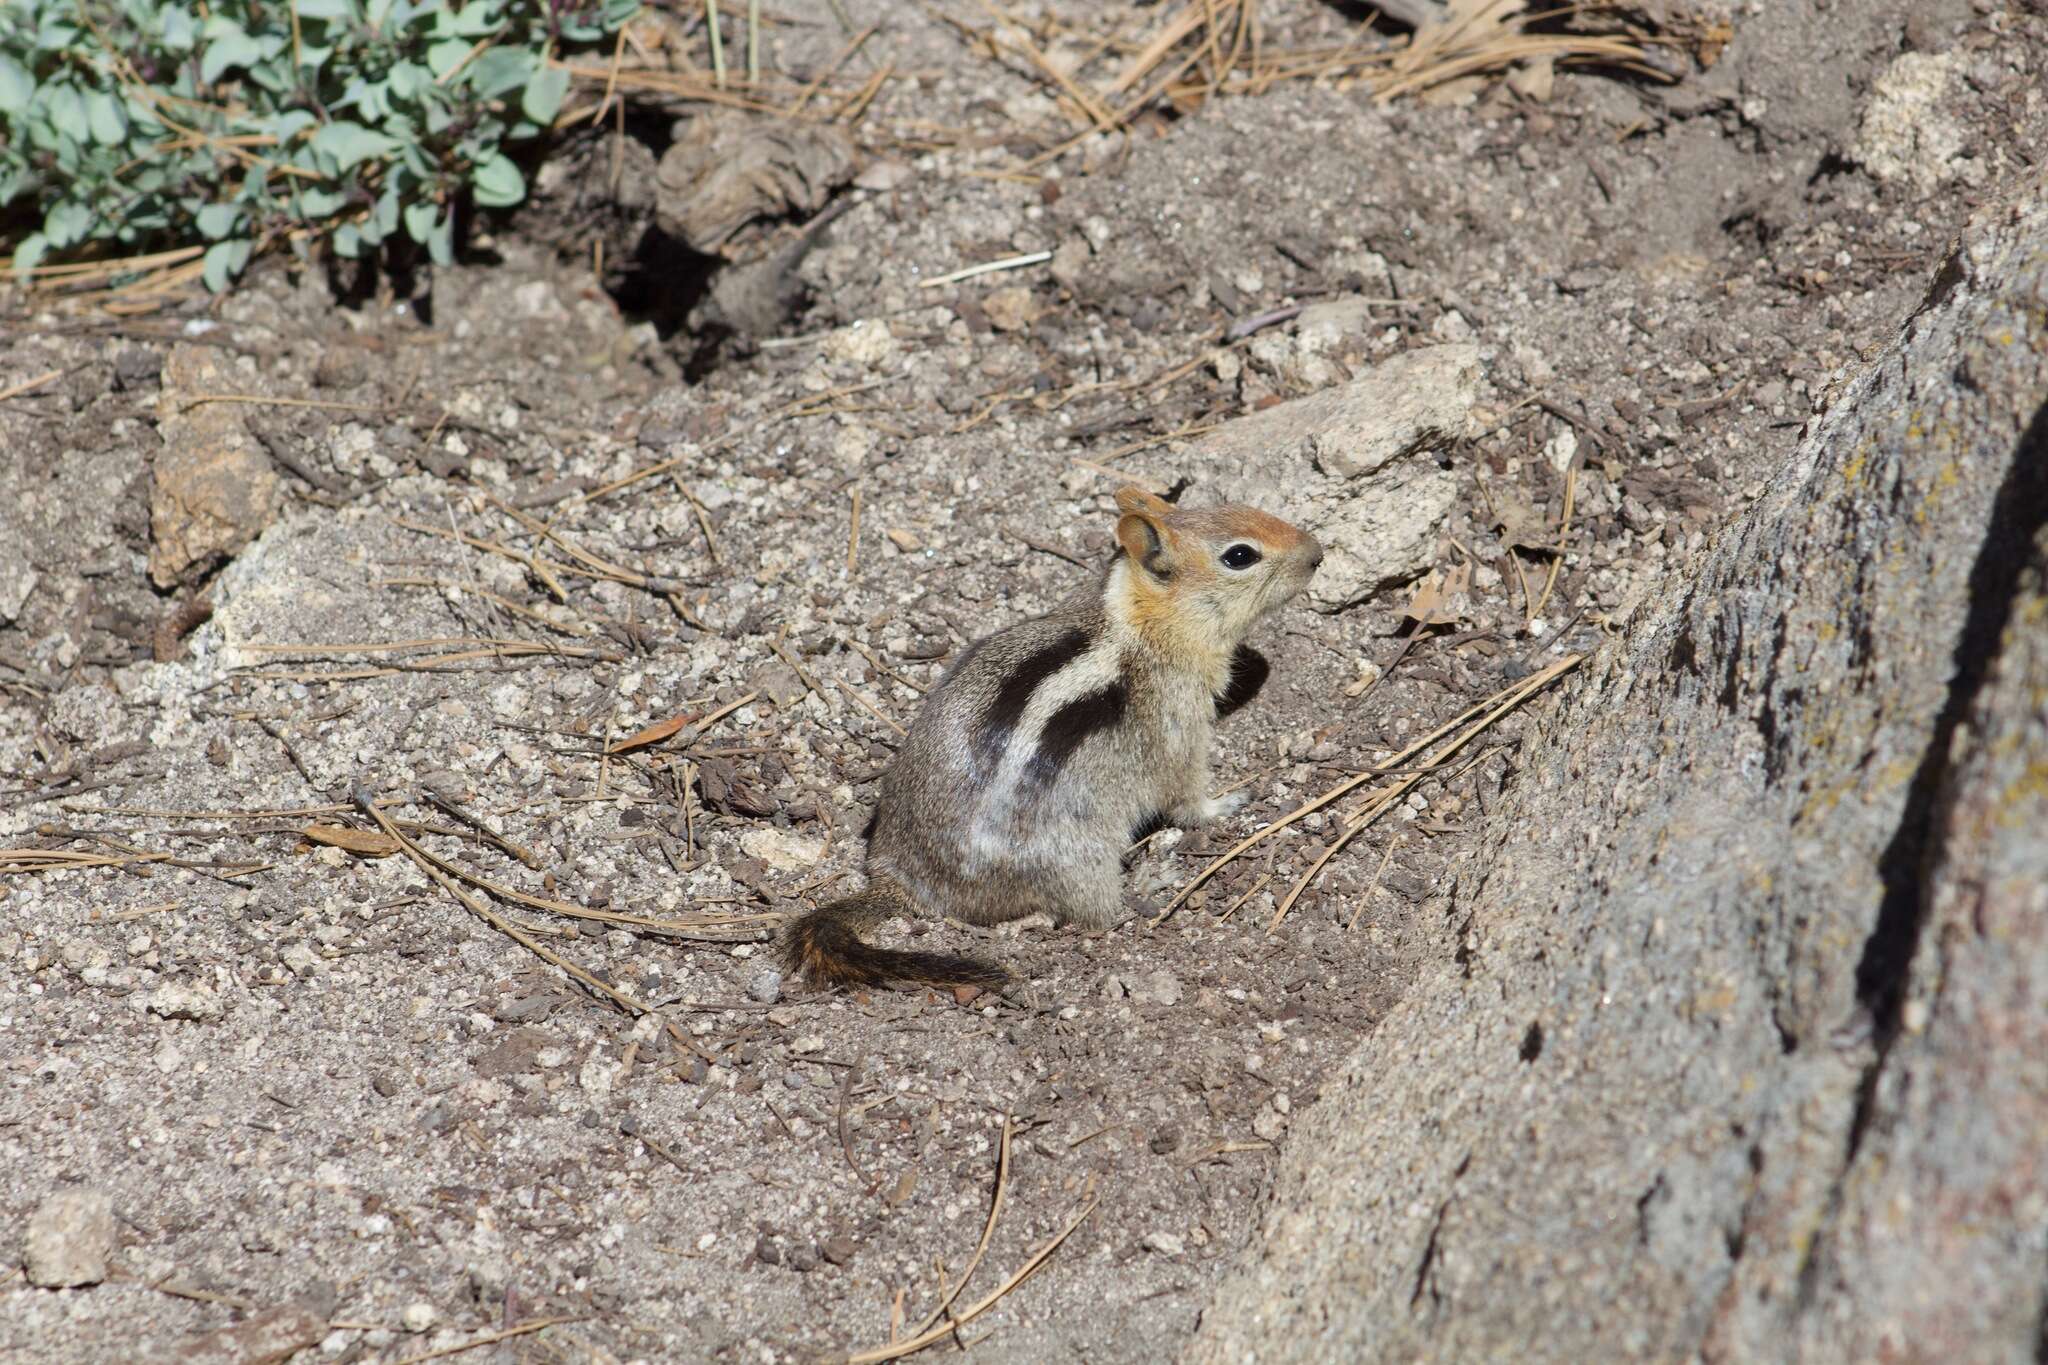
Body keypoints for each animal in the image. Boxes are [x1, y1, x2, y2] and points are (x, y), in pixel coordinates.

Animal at [782, 485, 1327, 986]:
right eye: (1240, 556)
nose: (1318, 553)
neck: (1140, 620)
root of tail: (905, 883)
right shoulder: (1179, 728)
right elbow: (1187, 796)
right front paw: (1226, 805)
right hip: (1080, 857)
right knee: (1099, 914)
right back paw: (1151, 880)